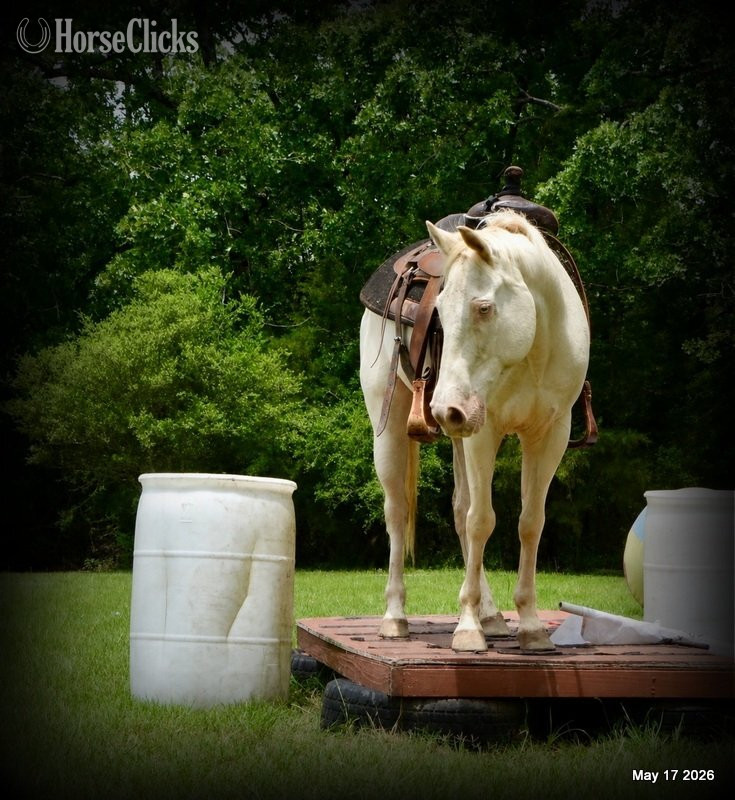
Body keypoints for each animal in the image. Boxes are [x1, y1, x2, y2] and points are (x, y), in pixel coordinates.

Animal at [359, 209, 590, 652]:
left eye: (484, 308)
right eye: (440, 310)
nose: (443, 409)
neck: (533, 347)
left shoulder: (549, 435)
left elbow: (530, 522)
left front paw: (530, 625)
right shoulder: (486, 432)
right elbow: (481, 520)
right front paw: (468, 629)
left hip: (462, 434)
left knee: (459, 507)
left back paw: (492, 615)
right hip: (393, 423)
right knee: (398, 511)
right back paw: (395, 617)